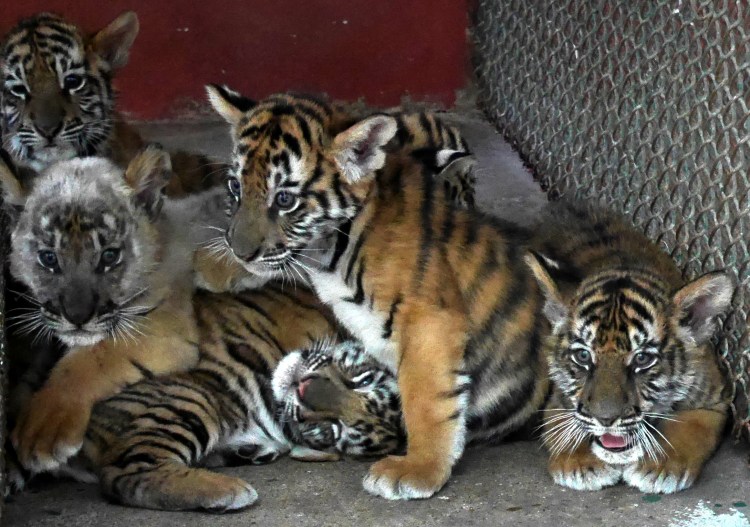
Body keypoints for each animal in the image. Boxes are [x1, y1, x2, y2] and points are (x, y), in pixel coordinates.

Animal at [202, 87, 550, 500]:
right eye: (235, 188)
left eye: (285, 199)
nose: (240, 251)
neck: (329, 253)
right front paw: (213, 265)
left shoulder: (430, 319)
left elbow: (425, 396)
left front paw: (419, 469)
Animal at [527, 201, 732, 494]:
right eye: (583, 356)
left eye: (642, 359)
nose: (605, 420)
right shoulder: (558, 398)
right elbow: (562, 425)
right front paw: (581, 466)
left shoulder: (715, 400)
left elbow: (690, 428)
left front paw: (660, 468)